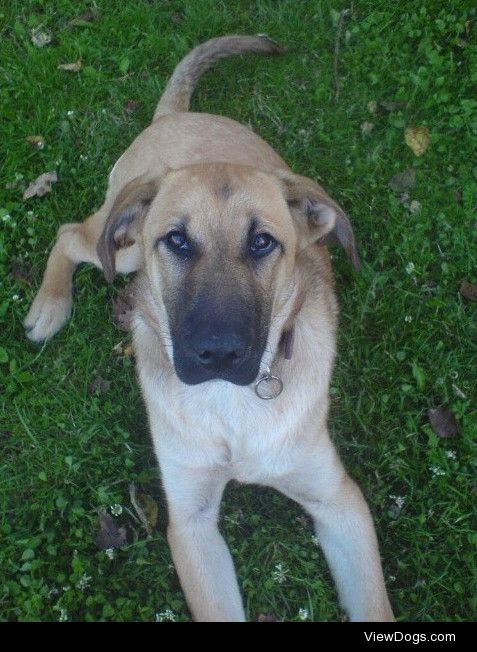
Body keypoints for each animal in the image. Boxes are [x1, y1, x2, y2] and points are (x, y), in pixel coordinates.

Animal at [24, 34, 392, 620]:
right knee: (70, 235)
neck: (230, 408)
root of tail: (175, 115)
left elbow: (375, 605)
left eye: (263, 242)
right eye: (176, 240)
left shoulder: (339, 501)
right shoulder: (191, 521)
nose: (218, 355)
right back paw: (49, 307)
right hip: (123, 251)